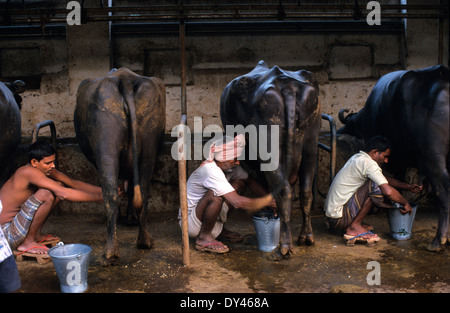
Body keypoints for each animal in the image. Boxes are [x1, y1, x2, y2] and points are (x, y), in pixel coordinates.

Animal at [74, 67, 166, 260]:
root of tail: (125, 77)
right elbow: (131, 187)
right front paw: (131, 218)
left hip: (106, 143)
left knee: (110, 195)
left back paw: (111, 252)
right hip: (148, 144)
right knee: (141, 192)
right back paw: (144, 241)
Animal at [221, 60, 320, 258]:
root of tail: (286, 83)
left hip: (269, 145)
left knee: (283, 190)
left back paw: (284, 248)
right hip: (311, 142)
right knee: (305, 191)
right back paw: (306, 237)